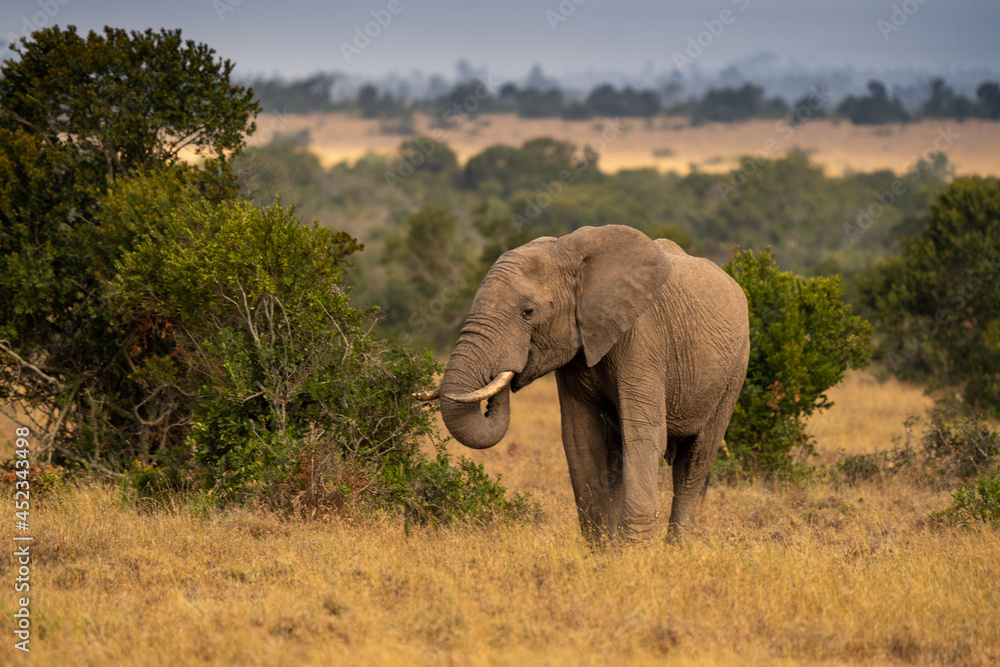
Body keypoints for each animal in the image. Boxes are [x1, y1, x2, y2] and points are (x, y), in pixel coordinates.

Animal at [415, 225, 749, 542]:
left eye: (528, 312)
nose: (508, 371)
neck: (571, 253)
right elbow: (580, 439)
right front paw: (603, 551)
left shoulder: (643, 336)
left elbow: (645, 434)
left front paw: (636, 552)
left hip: (734, 372)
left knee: (694, 463)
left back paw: (676, 547)